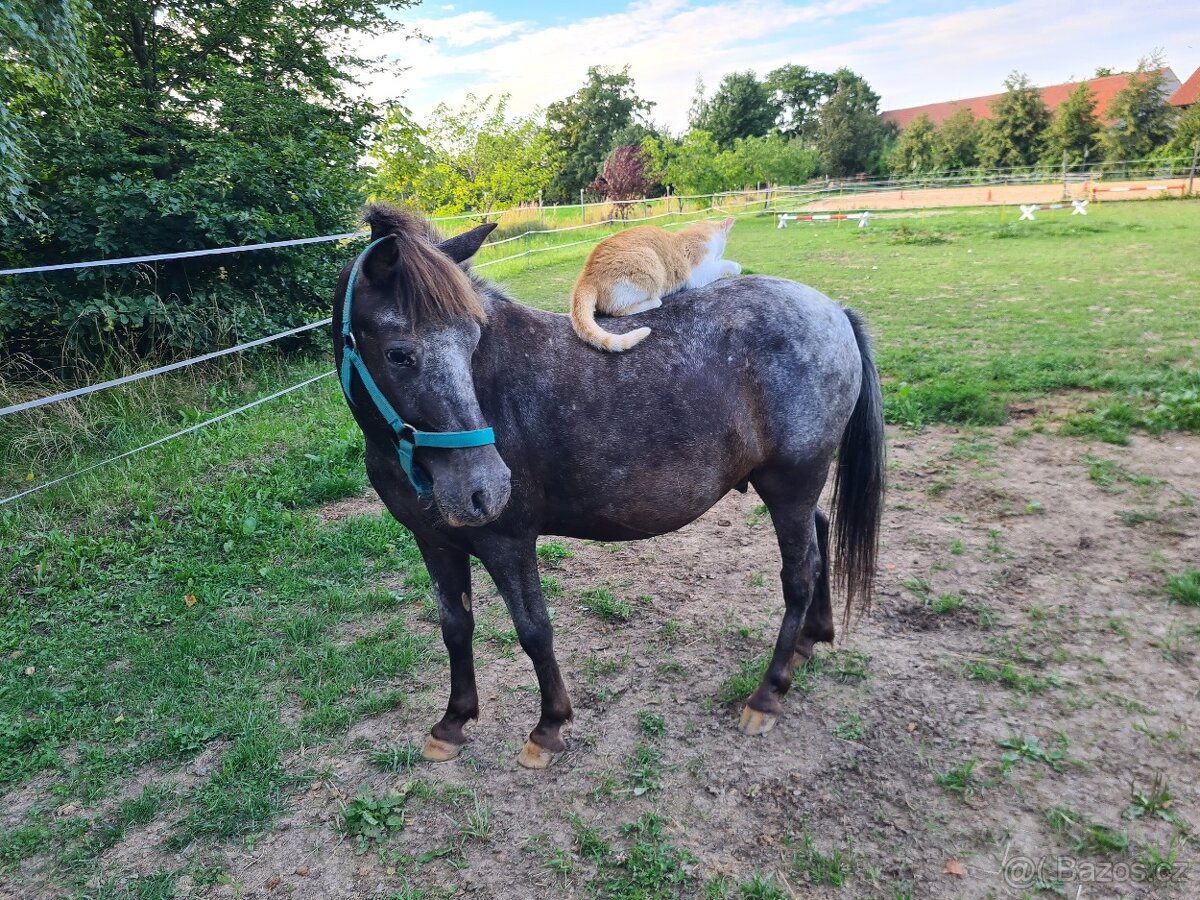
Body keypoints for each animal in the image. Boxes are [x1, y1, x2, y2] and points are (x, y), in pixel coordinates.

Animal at [333, 204, 885, 769]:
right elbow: (455, 628)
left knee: (799, 575)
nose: (484, 487)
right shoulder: (435, 543)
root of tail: (833, 310)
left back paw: (768, 694)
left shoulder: (507, 543)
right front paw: (453, 722)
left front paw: (549, 727)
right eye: (399, 354)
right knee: (821, 532)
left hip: (791, 484)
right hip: (793, 487)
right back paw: (810, 640)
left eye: (472, 340)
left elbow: (534, 630)